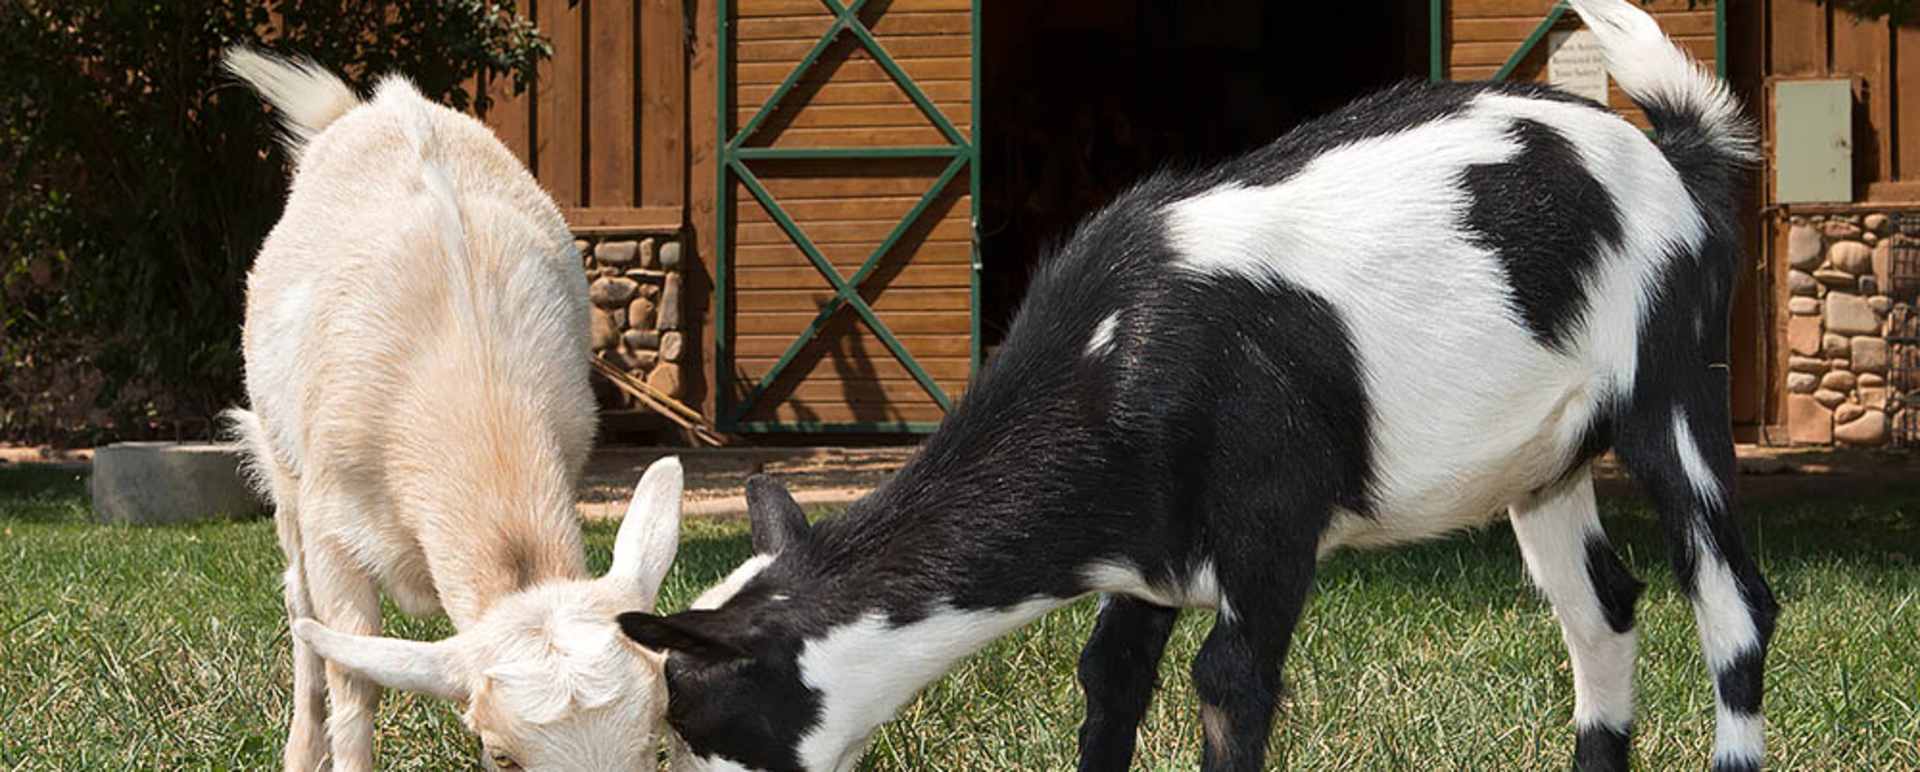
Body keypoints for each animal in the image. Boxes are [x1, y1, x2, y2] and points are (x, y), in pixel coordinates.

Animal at [222, 48, 682, 772]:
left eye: (657, 736)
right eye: (500, 754)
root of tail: (375, 106)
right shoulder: (332, 521)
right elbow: (352, 677)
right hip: (281, 468)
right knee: (298, 608)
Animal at [617, 2, 1777, 770]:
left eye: (702, 722)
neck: (1118, 348)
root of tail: (1675, 154)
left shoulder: (1270, 534)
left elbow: (1228, 688)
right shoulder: (1145, 558)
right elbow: (1109, 682)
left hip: (1673, 382)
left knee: (1733, 602)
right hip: (1541, 466)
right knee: (1604, 609)